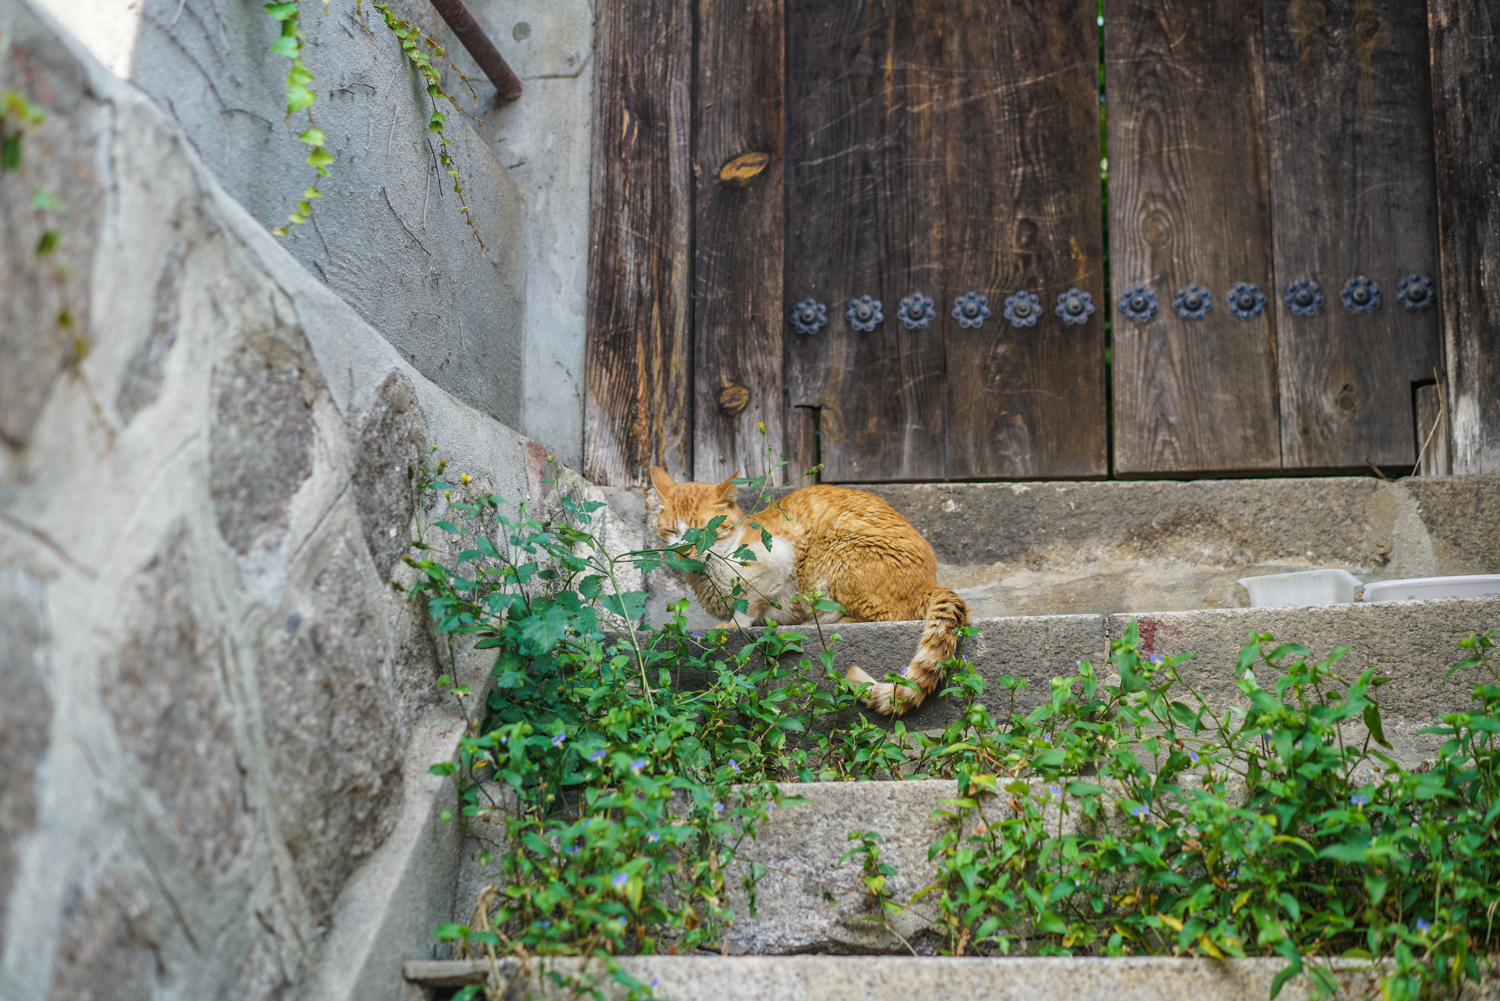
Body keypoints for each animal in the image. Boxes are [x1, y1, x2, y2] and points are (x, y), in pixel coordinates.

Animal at [651, 465, 966, 717]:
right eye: (672, 532)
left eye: (704, 530)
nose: (684, 550)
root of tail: (932, 583)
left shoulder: (779, 557)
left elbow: (748, 604)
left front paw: (733, 623)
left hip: (837, 552)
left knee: (887, 615)